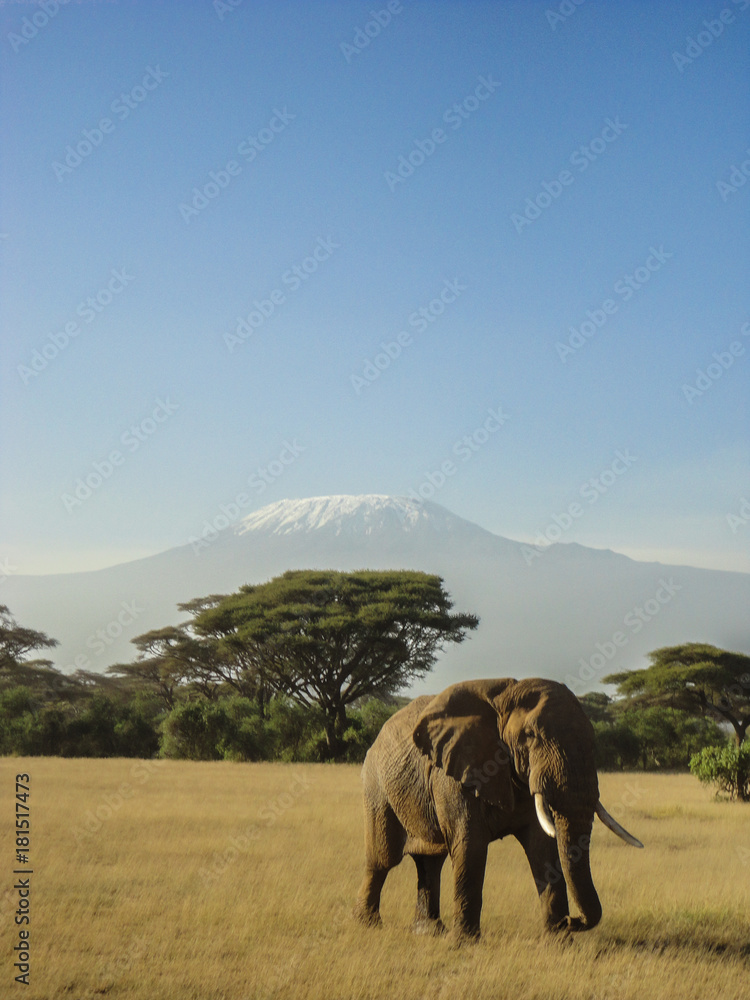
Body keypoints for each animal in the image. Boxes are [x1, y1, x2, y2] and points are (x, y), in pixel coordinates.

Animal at [353, 677, 642, 940]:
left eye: (592, 739)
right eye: (530, 736)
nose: (573, 921)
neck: (505, 697)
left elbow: (542, 848)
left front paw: (559, 941)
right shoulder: (455, 774)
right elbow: (470, 845)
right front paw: (464, 943)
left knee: (430, 861)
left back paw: (428, 932)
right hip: (377, 787)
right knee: (383, 859)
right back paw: (368, 925)